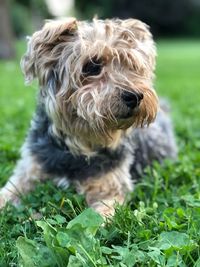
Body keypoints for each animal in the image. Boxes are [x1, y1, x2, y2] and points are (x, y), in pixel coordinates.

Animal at [0, 17, 177, 218]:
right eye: (92, 66)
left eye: (131, 66)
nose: (136, 96)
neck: (78, 145)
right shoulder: (27, 172)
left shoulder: (110, 189)